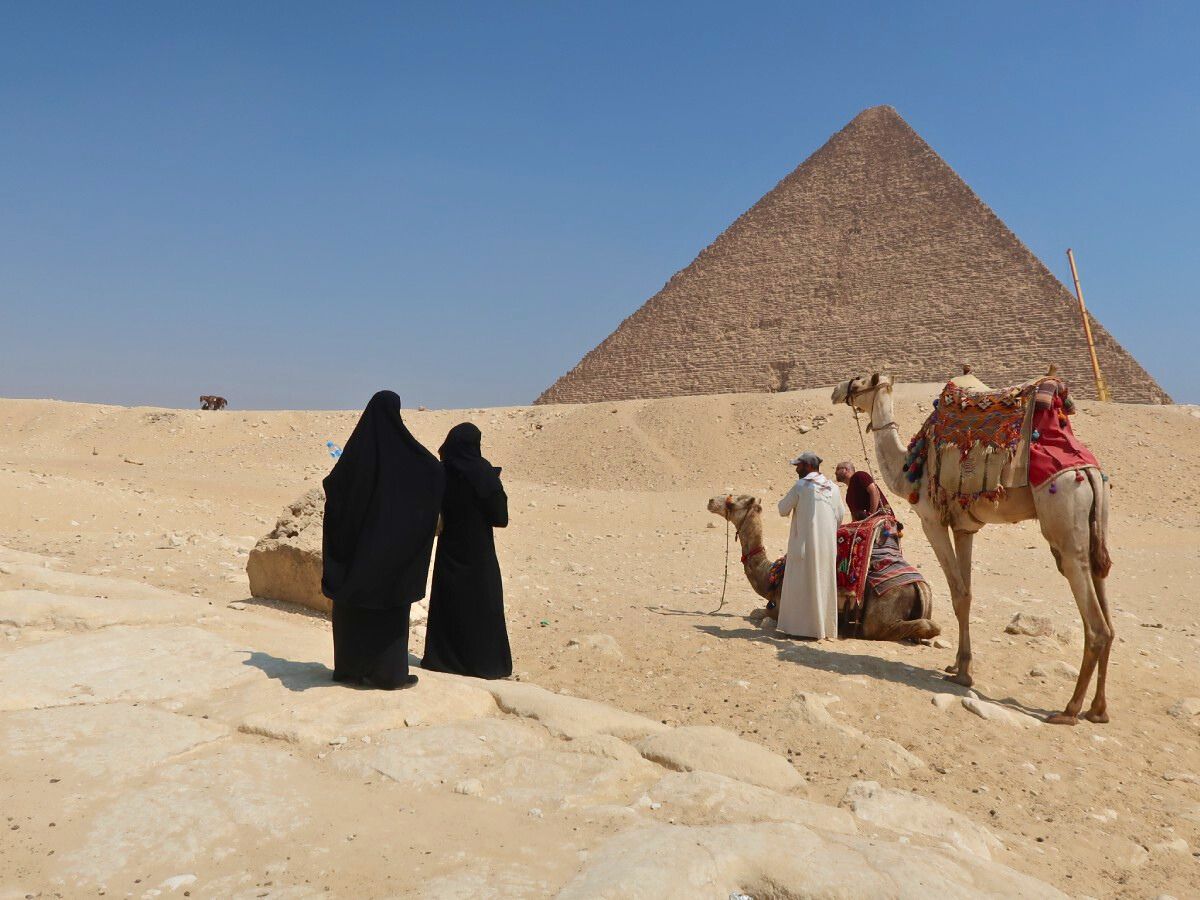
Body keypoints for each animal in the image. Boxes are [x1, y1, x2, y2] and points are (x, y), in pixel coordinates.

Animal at [700, 494, 936, 643]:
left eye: (733, 502)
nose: (711, 501)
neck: (770, 577)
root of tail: (920, 586)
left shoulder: (780, 607)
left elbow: (756, 613)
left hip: (882, 611)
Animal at [830, 374, 1108, 724]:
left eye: (860, 382)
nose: (836, 390)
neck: (910, 467)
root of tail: (1088, 471)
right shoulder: (964, 527)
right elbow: (967, 595)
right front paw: (957, 666)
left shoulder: (932, 520)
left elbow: (958, 595)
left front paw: (963, 675)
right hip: (1094, 529)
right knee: (1103, 594)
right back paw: (1098, 709)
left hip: (1065, 527)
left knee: (1094, 622)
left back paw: (1069, 710)